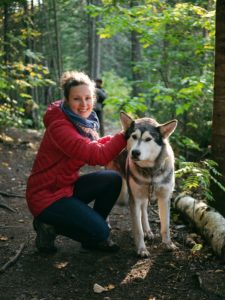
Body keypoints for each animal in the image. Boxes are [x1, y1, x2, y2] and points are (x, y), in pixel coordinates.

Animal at [110, 112, 178, 258]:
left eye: (148, 139)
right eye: (134, 136)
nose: (135, 153)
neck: (150, 172)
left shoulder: (164, 198)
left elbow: (165, 225)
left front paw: (168, 244)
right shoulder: (134, 199)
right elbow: (138, 230)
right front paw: (141, 249)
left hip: (144, 195)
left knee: (144, 211)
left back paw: (148, 230)